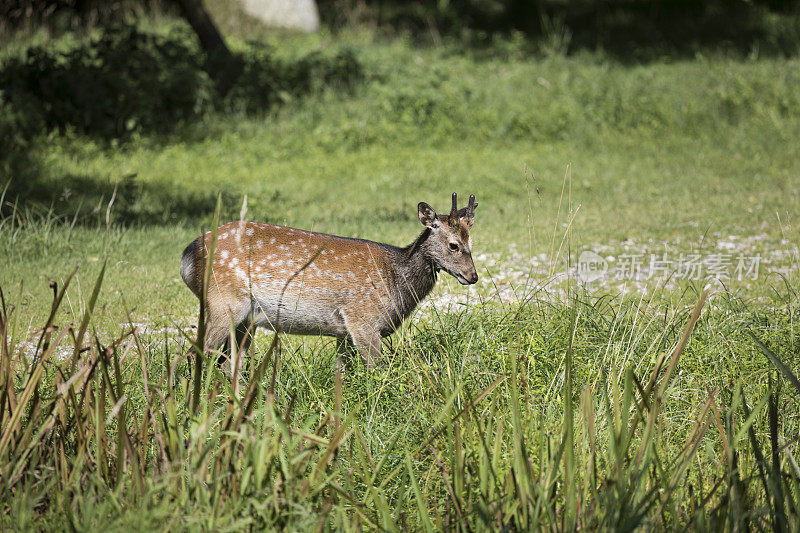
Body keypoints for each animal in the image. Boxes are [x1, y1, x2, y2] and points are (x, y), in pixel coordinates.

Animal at [181, 192, 478, 370]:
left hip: (245, 320)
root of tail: (187, 256)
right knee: (194, 354)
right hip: (223, 301)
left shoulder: (342, 331)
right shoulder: (363, 319)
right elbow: (377, 370)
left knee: (230, 363)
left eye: (471, 243)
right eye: (453, 245)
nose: (472, 276)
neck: (395, 280)